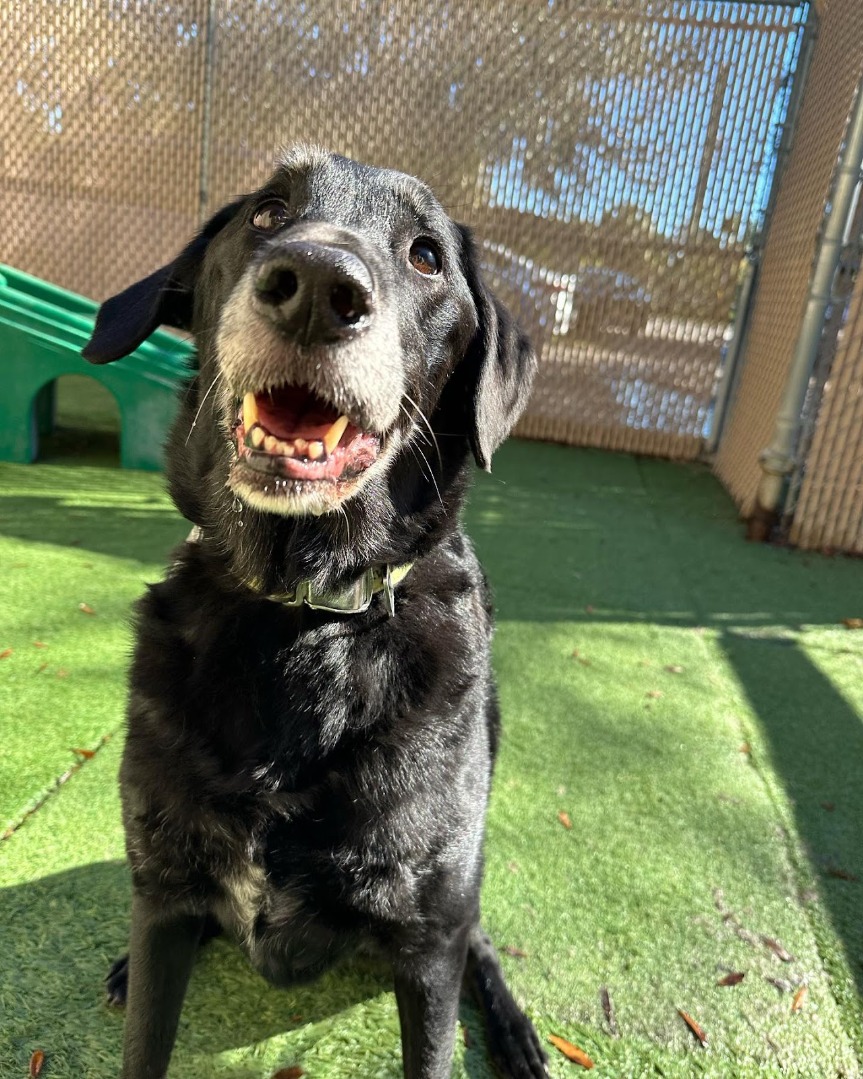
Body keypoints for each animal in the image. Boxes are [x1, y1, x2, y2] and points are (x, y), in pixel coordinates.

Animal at [83, 145, 546, 1079]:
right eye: (266, 212)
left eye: (425, 256)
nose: (316, 285)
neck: (307, 616)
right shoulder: (161, 892)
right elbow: (146, 1029)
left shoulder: (426, 944)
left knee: (479, 939)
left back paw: (515, 1032)